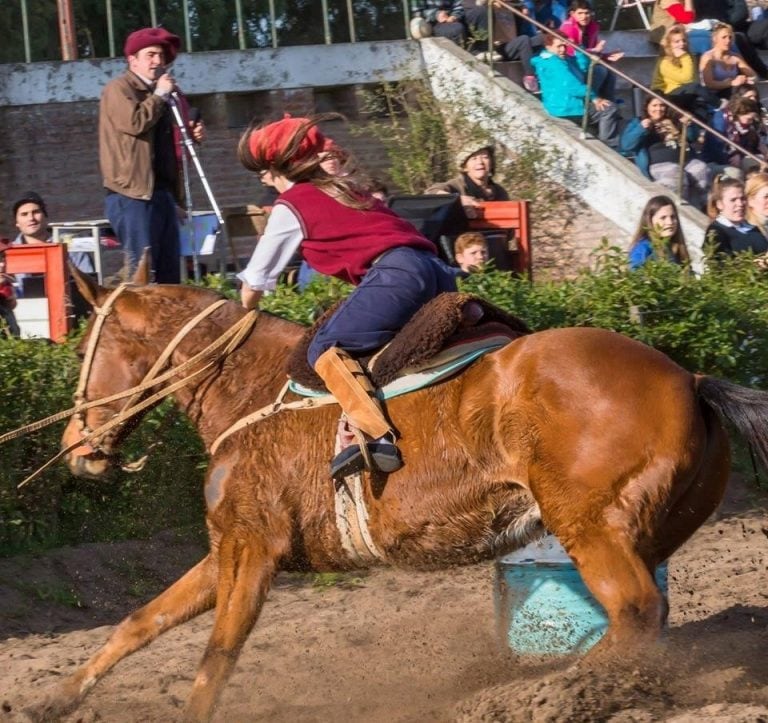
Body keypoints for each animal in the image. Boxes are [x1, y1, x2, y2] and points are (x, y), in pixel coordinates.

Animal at [34, 268, 768, 720]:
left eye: (86, 350)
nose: (78, 448)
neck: (249, 387)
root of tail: (690, 378)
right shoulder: (225, 550)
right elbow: (140, 621)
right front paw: (56, 698)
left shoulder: (252, 549)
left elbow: (217, 655)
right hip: (649, 530)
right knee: (649, 622)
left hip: (590, 525)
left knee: (637, 613)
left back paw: (540, 695)